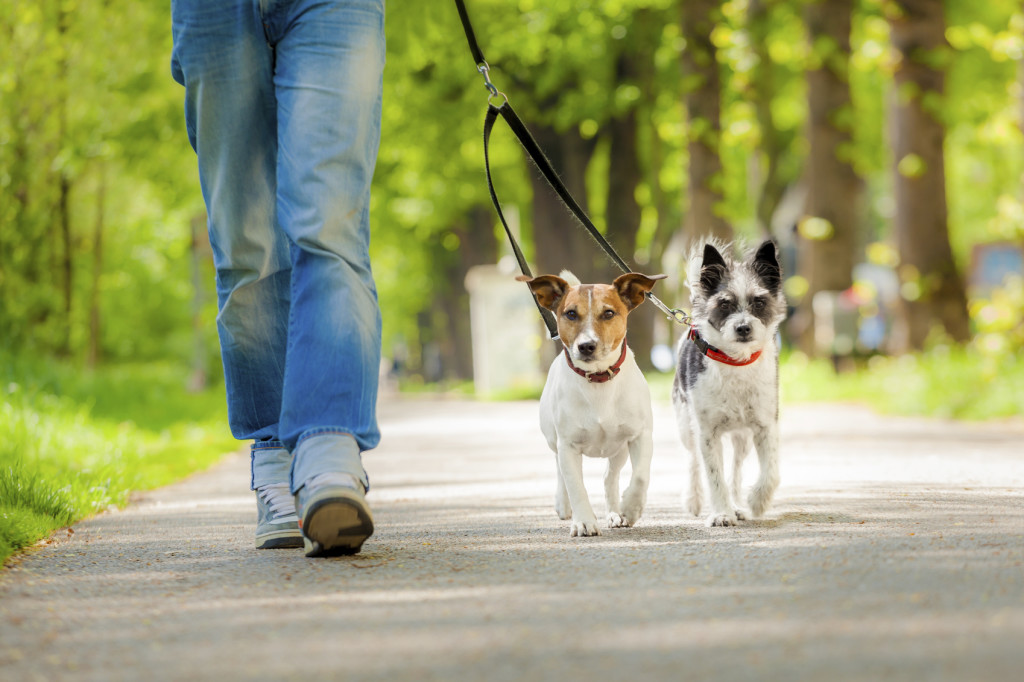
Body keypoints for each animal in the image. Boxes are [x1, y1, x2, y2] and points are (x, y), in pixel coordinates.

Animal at [516, 268, 667, 532]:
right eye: (570, 313)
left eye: (608, 313)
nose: (586, 346)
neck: (598, 379)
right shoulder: (568, 445)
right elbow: (576, 486)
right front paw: (584, 521)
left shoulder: (640, 436)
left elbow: (640, 476)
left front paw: (631, 508)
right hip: (553, 440)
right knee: (560, 471)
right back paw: (564, 504)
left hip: (619, 450)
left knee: (610, 477)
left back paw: (615, 513)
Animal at [671, 238, 790, 524]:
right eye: (724, 304)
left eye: (759, 302)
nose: (743, 328)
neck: (736, 362)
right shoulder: (707, 433)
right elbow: (714, 476)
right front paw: (721, 513)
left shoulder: (765, 426)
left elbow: (771, 472)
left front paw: (757, 502)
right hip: (686, 425)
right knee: (693, 460)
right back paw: (694, 499)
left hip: (742, 438)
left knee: (735, 470)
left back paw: (737, 503)